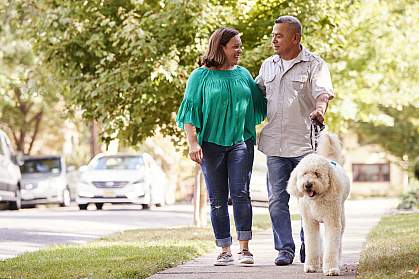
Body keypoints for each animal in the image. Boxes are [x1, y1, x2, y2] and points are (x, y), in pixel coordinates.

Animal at [288, 134, 352, 278]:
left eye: (317, 174)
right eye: (304, 173)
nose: (308, 184)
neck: (317, 199)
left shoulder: (332, 222)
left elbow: (331, 246)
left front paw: (331, 269)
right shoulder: (310, 223)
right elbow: (312, 244)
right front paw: (311, 266)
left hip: (341, 218)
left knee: (339, 242)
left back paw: (337, 261)